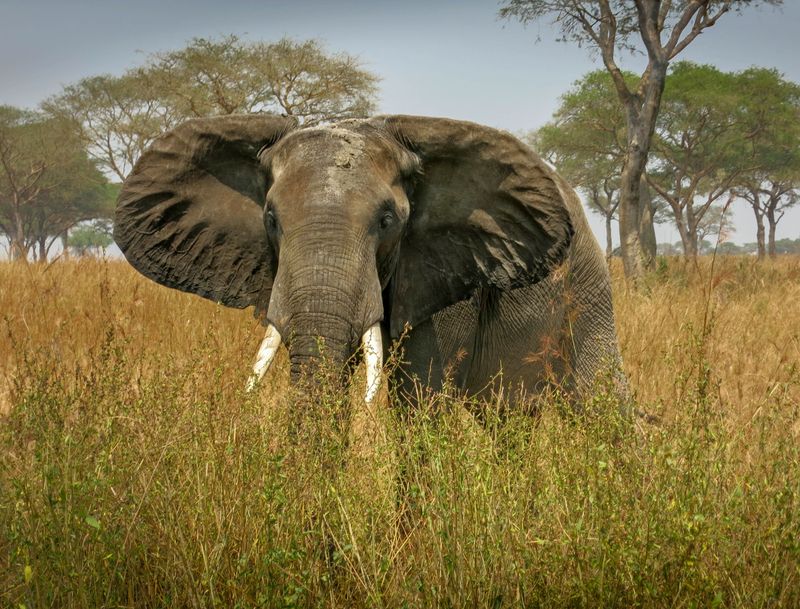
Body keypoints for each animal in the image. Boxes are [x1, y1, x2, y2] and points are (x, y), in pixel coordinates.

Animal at [114, 114, 626, 408]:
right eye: (271, 219)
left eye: (386, 220)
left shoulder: (441, 276)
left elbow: (420, 405)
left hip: (589, 289)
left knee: (602, 403)